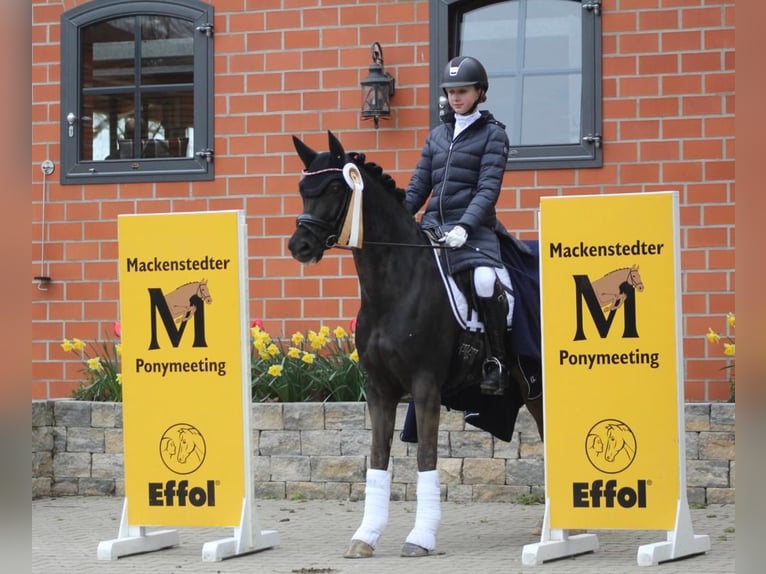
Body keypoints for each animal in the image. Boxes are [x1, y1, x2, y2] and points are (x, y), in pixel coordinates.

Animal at [288, 133, 544, 560]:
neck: (393, 286)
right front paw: (366, 536)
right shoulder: (379, 389)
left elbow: (426, 456)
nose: (300, 245)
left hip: (536, 386)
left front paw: (420, 538)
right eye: (302, 189)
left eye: (336, 187)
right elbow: (377, 457)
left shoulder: (425, 387)